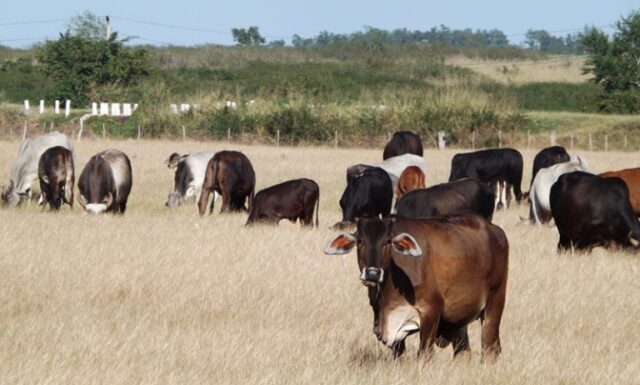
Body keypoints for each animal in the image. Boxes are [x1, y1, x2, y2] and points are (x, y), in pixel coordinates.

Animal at [324, 214, 510, 358]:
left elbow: (424, 354)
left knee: (490, 348)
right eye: (360, 242)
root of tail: (495, 231)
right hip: (459, 320)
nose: (372, 273)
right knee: (463, 352)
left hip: (495, 303)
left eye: (387, 242)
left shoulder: (430, 312)